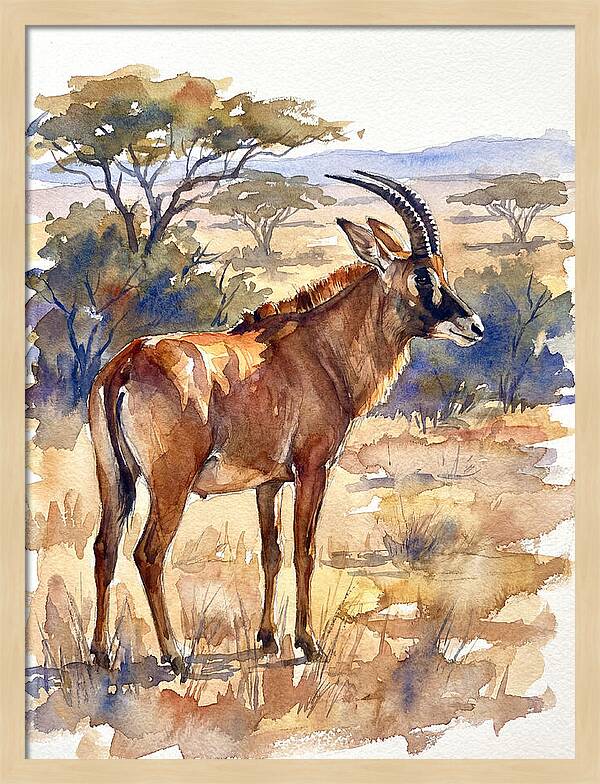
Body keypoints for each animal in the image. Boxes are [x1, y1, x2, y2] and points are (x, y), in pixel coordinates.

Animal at [89, 171, 484, 674]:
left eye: (441, 271)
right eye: (421, 276)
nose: (474, 326)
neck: (320, 348)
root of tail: (124, 366)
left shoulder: (269, 482)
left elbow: (271, 553)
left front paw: (266, 637)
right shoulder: (313, 468)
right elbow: (305, 551)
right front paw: (308, 643)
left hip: (113, 478)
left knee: (105, 547)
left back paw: (100, 653)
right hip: (170, 483)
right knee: (149, 554)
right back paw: (174, 656)